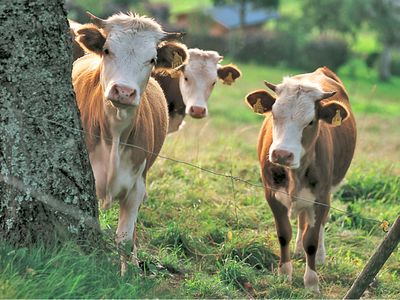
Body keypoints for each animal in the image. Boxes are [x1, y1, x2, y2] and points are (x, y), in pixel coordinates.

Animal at [72, 11, 188, 274]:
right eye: (107, 50)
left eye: (152, 60)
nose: (124, 92)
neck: (114, 133)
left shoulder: (136, 187)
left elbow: (124, 240)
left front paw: (129, 275)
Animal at [245, 67, 358, 292]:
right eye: (274, 115)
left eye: (311, 121)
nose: (281, 154)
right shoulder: (272, 194)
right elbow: (284, 234)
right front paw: (284, 273)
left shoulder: (321, 197)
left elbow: (311, 241)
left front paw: (311, 282)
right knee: (302, 220)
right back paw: (297, 250)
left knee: (319, 223)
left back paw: (320, 255)